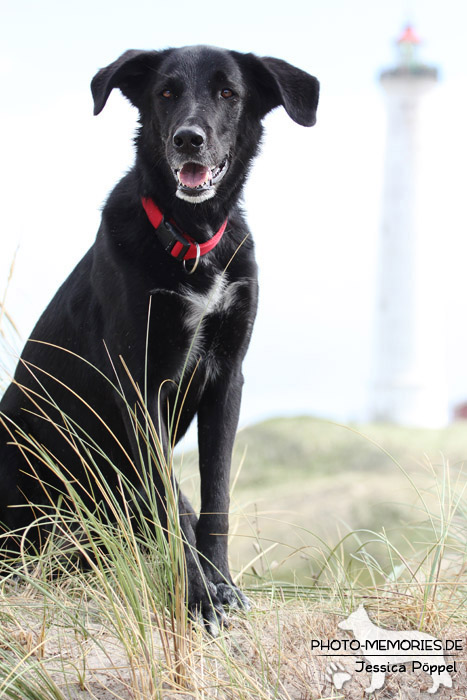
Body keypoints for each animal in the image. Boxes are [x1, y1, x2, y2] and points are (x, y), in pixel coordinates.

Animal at [0, 45, 318, 636]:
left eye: (228, 93)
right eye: (166, 92)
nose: (188, 139)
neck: (191, 239)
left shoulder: (227, 378)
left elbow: (215, 499)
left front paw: (221, 586)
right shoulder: (140, 386)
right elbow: (169, 507)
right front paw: (196, 598)